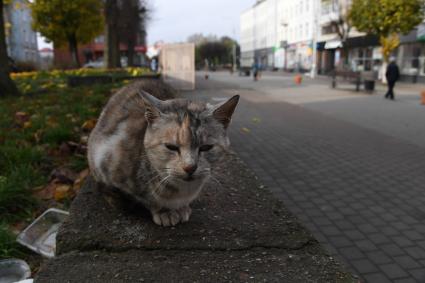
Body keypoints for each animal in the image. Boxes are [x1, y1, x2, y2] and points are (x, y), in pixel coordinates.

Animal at [86, 83, 238, 227]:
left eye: (206, 147)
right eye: (171, 147)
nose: (190, 167)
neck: (183, 191)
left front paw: (182, 208)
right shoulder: (105, 155)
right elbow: (148, 200)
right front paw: (165, 211)